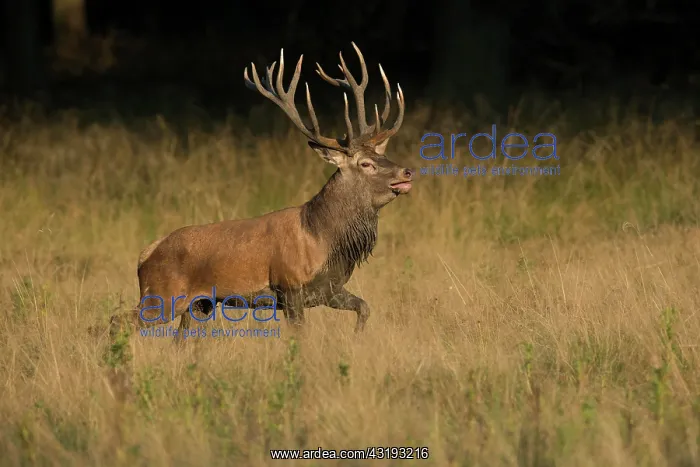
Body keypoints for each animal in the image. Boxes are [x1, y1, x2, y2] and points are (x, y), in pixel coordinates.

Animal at [108, 42, 413, 339]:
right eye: (366, 164)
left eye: (382, 155)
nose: (406, 172)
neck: (323, 238)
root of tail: (146, 254)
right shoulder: (289, 286)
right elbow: (301, 338)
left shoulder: (330, 289)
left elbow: (364, 307)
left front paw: (357, 338)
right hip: (163, 295)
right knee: (117, 320)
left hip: (199, 303)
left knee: (179, 339)